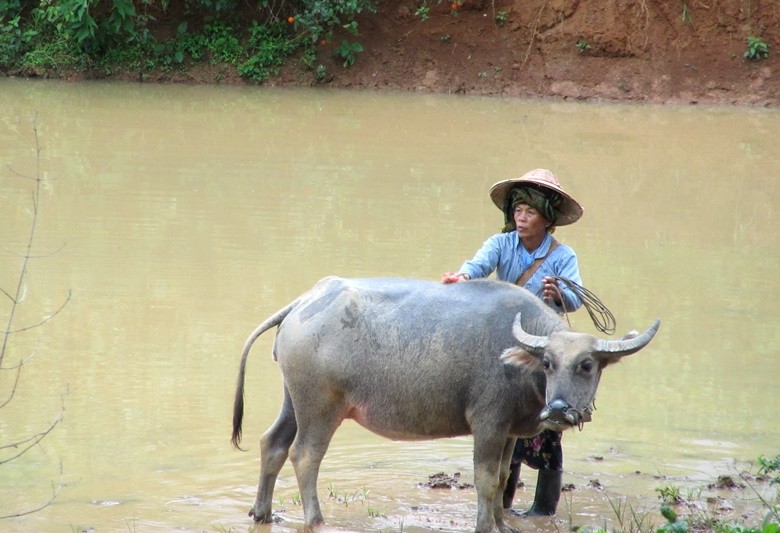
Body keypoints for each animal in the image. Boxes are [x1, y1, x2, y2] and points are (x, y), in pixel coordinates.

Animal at [232, 276, 660, 528]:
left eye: (586, 365)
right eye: (549, 363)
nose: (557, 410)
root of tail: (304, 302)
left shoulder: (509, 430)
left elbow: (503, 478)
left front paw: (502, 523)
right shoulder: (487, 423)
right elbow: (485, 480)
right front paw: (485, 526)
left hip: (293, 400)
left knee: (273, 444)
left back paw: (262, 512)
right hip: (321, 406)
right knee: (305, 455)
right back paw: (317, 519)